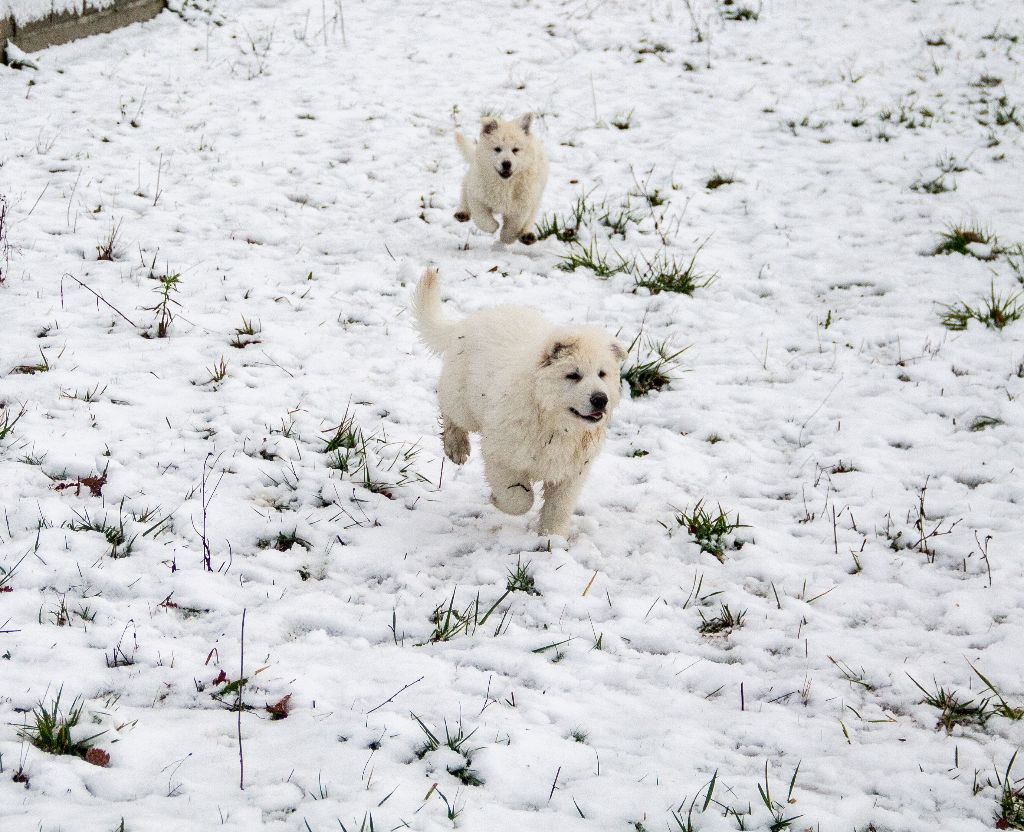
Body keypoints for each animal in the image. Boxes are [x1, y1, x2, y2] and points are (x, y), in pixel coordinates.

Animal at [413, 270, 622, 536]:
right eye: (573, 375)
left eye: (602, 374)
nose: (601, 399)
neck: (552, 420)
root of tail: (470, 321)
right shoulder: (502, 454)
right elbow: (518, 498)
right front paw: (498, 500)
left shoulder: (572, 469)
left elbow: (559, 506)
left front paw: (552, 537)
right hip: (462, 398)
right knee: (450, 411)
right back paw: (456, 447)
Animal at [454, 116, 548, 246]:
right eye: (497, 149)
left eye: (515, 150)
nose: (506, 164)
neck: (504, 184)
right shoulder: (477, 195)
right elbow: (482, 218)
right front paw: (494, 226)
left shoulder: (523, 203)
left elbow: (515, 225)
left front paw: (506, 237)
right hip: (470, 180)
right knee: (464, 191)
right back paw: (462, 213)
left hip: (536, 197)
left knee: (530, 218)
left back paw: (527, 236)